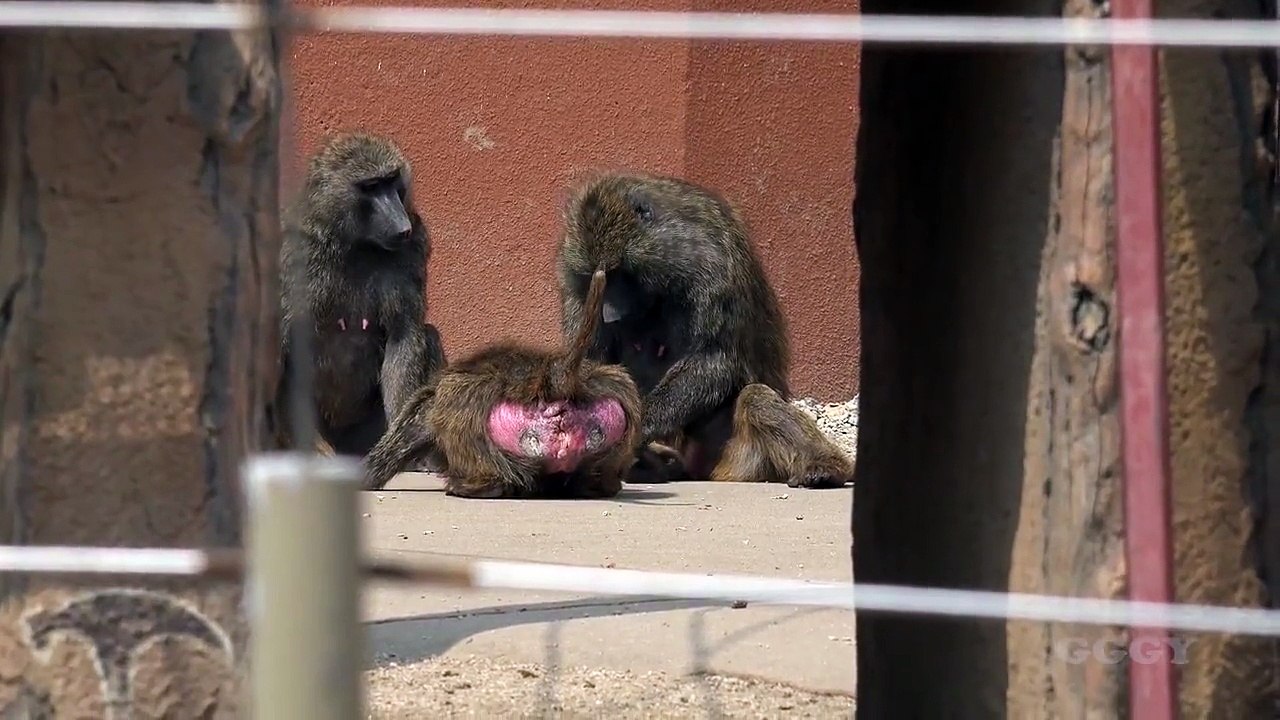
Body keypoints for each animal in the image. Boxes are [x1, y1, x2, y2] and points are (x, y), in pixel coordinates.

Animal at [270, 132, 446, 458]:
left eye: (391, 181)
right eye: (372, 187)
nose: (402, 227)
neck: (350, 242)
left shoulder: (414, 246)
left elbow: (403, 335)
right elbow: (282, 352)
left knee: (428, 334)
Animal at [556, 171, 854, 489]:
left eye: (617, 274)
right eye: (593, 276)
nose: (609, 315)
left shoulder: (713, 265)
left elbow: (715, 358)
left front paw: (640, 427)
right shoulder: (573, 281)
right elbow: (591, 363)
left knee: (756, 398)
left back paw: (826, 467)